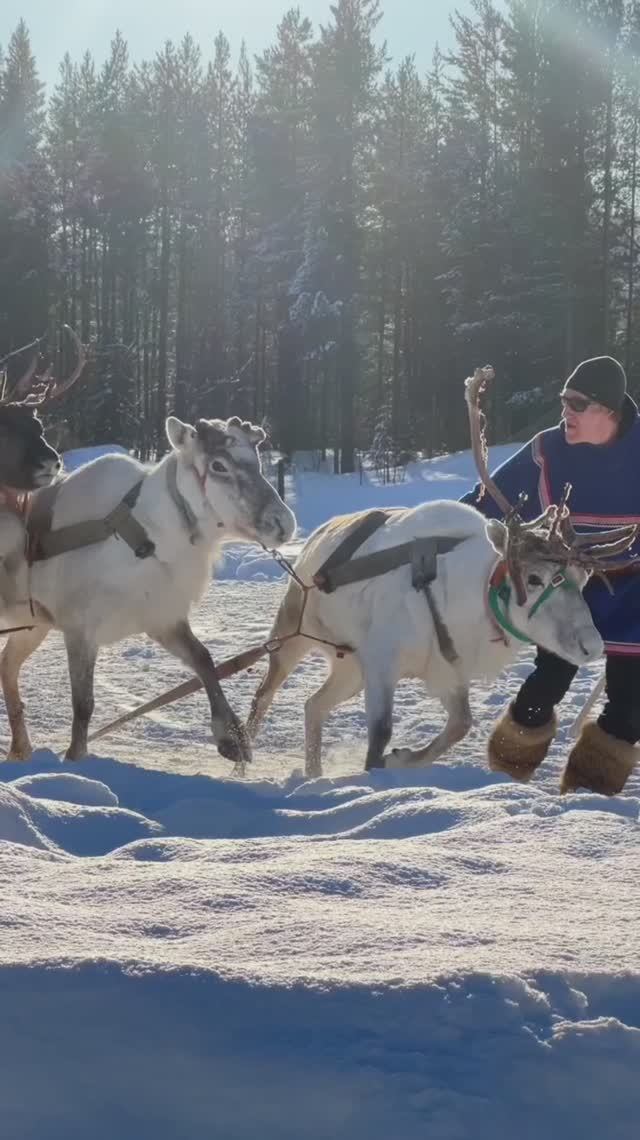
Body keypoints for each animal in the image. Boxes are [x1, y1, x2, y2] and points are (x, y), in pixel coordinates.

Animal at [0, 413, 296, 767]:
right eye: (218, 465)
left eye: (257, 461)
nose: (284, 524)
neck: (148, 537)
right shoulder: (80, 628)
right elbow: (83, 704)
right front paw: (75, 758)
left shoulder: (161, 618)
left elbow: (204, 660)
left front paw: (232, 740)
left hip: (33, 626)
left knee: (7, 666)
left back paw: (20, 749)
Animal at [247, 367, 636, 778]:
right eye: (533, 579)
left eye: (583, 580)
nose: (593, 645)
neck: (466, 600)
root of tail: (314, 539)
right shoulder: (382, 659)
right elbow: (380, 735)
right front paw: (379, 769)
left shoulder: (445, 672)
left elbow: (460, 726)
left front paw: (403, 759)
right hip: (293, 633)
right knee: (263, 696)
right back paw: (242, 758)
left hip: (348, 664)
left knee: (313, 705)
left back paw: (314, 773)